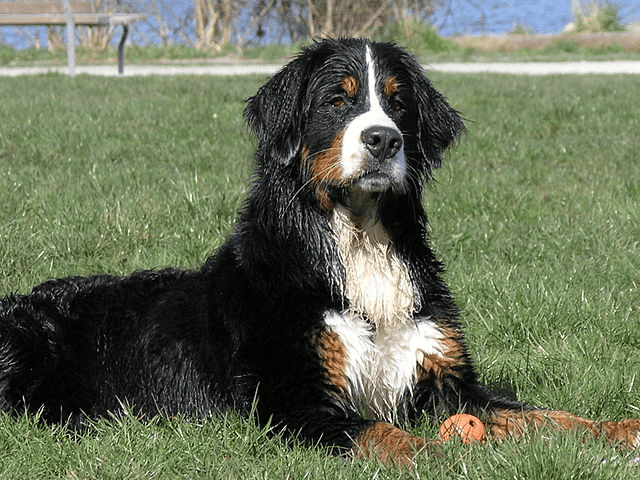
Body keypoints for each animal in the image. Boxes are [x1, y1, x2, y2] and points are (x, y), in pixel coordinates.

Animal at [1, 37, 640, 464]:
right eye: (338, 100)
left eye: (398, 102)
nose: (383, 139)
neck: (360, 243)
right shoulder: (291, 401)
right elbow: (382, 433)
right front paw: (441, 456)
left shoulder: (446, 380)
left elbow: (547, 415)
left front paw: (620, 431)